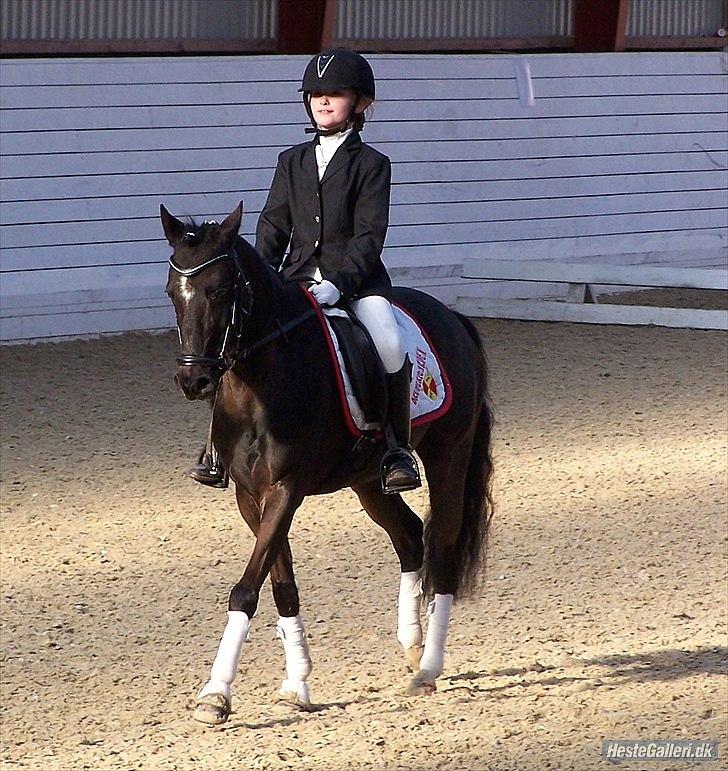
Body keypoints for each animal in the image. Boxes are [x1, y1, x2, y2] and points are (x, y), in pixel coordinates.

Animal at [161, 204, 494, 724]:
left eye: (220, 291)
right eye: (172, 292)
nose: (193, 381)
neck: (259, 383)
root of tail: (453, 318)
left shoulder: (286, 490)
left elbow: (246, 588)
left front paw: (215, 693)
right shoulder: (251, 496)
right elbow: (281, 585)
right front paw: (297, 683)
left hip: (448, 456)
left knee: (441, 546)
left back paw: (429, 667)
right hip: (371, 480)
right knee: (409, 536)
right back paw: (412, 645)